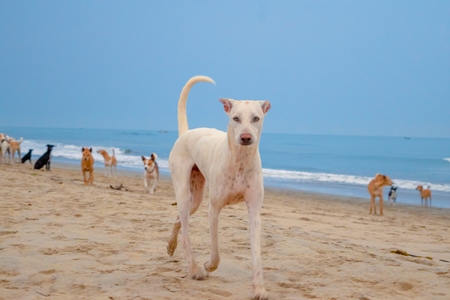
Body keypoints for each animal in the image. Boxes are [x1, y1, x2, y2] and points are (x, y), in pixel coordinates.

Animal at [165, 75, 270, 300]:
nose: (246, 138)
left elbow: (257, 254)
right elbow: (215, 250)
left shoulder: (254, 211)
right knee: (186, 233)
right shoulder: (213, 209)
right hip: (184, 193)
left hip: (195, 198)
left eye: (256, 118)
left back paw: (171, 245)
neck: (240, 160)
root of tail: (186, 133)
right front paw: (209, 266)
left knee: (178, 220)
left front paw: (259, 288)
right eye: (235, 118)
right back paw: (195, 269)